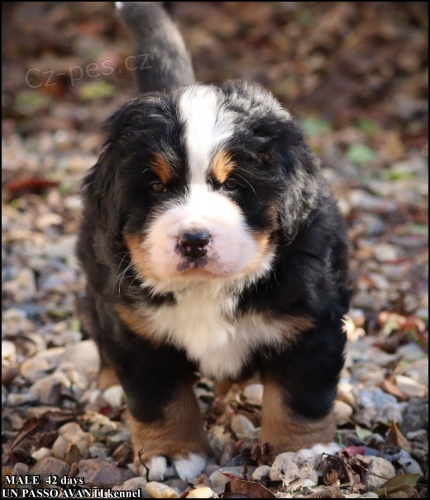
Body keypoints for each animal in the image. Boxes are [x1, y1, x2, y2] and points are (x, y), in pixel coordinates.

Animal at [77, 1, 350, 481]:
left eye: (235, 185)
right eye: (155, 187)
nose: (194, 240)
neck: (206, 289)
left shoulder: (309, 324)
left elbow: (299, 396)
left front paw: (299, 450)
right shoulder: (138, 332)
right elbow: (160, 399)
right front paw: (173, 452)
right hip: (99, 288)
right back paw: (108, 386)